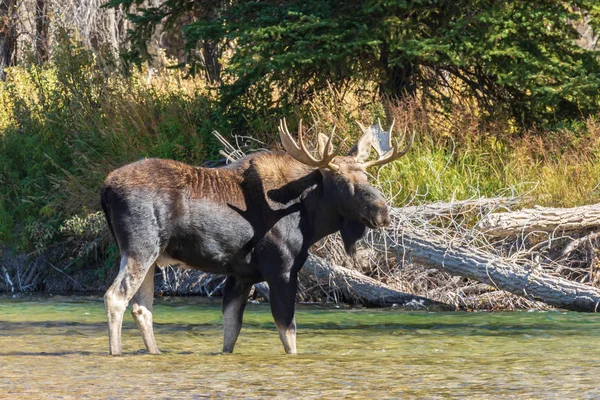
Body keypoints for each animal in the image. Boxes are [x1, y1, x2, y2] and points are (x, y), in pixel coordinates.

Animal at [102, 117, 412, 354]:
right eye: (342, 180)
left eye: (367, 177)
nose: (383, 212)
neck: (310, 218)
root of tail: (104, 189)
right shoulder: (281, 269)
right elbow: (288, 332)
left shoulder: (241, 274)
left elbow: (231, 332)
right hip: (140, 249)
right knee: (115, 296)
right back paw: (116, 353)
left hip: (151, 257)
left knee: (142, 308)